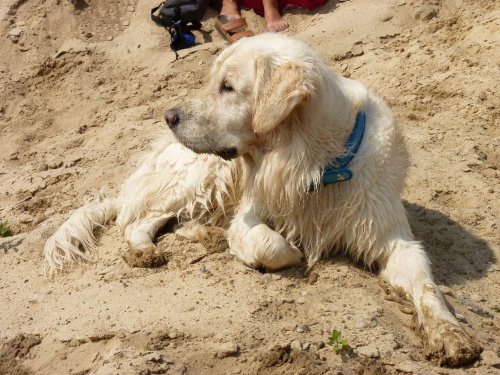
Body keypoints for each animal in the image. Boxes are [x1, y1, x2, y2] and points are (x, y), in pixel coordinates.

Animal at [45, 33, 482, 368]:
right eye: (213, 82)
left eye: (227, 87)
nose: (168, 116)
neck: (315, 163)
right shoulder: (250, 213)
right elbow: (273, 245)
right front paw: (287, 250)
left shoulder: (393, 237)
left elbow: (427, 286)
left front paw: (450, 335)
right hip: (206, 174)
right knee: (142, 220)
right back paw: (148, 249)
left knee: (175, 221)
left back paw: (206, 236)